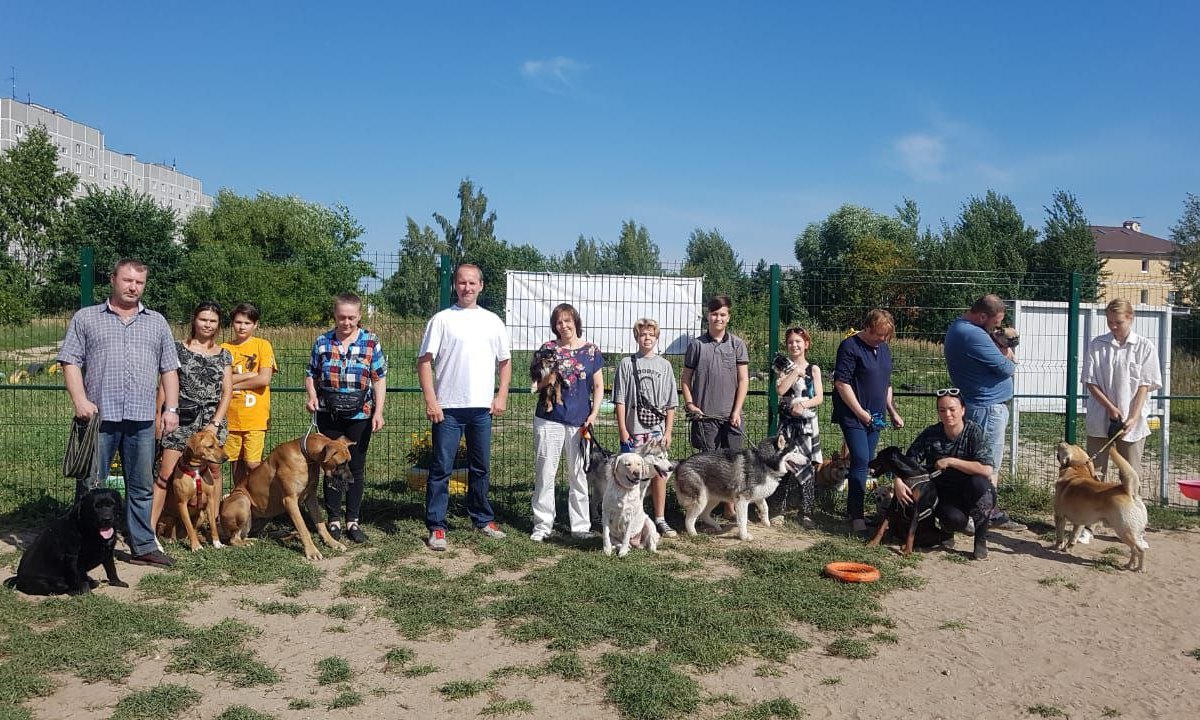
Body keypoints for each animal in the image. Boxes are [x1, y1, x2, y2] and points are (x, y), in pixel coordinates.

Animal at [218, 432, 352, 561]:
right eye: (341, 464)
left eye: (348, 462)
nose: (352, 481)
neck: (306, 456)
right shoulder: (290, 500)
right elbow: (303, 528)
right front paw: (312, 551)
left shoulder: (311, 497)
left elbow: (321, 524)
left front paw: (333, 543)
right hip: (242, 499)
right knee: (233, 539)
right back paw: (246, 542)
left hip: (264, 516)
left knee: (255, 534)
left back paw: (280, 533)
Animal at [1056, 441, 1147, 571]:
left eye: (1065, 447)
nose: (1061, 442)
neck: (1078, 469)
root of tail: (1130, 493)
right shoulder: (1080, 522)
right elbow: (1073, 537)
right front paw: (1067, 549)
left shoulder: (1059, 516)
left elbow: (1060, 536)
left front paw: (1058, 547)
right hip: (1130, 533)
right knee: (1134, 550)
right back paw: (1129, 565)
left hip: (1124, 531)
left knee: (1140, 550)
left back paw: (1140, 568)